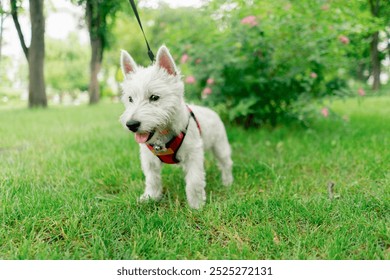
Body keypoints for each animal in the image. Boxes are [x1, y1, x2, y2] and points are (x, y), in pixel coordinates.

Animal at [120, 45, 233, 208]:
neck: (163, 135)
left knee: (226, 163)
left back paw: (227, 182)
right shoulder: (149, 159)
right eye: (130, 99)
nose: (131, 124)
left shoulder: (193, 154)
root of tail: (211, 110)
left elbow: (194, 181)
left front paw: (196, 205)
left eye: (154, 97)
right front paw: (150, 197)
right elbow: (152, 179)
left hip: (220, 145)